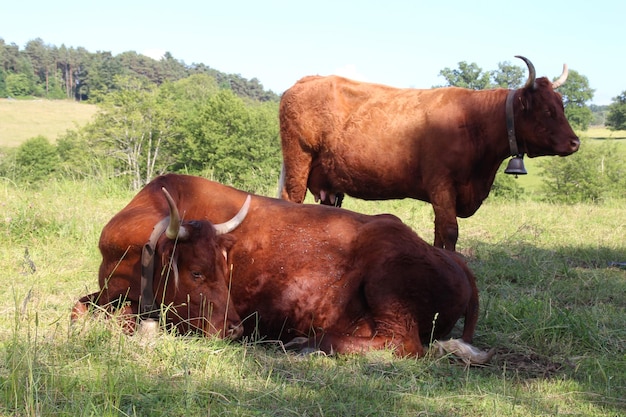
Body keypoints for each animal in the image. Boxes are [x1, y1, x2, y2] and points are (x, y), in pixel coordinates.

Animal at [73, 174, 490, 362]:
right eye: (197, 272)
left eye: (225, 269)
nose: (234, 329)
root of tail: (457, 263)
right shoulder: (107, 292)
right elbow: (79, 307)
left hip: (387, 282)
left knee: (403, 344)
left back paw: (307, 342)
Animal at [278, 55, 580, 250]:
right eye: (547, 110)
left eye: (562, 106)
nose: (575, 142)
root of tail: (306, 80)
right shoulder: (442, 184)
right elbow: (449, 232)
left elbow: (439, 232)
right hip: (298, 161)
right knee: (290, 203)